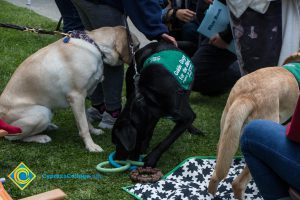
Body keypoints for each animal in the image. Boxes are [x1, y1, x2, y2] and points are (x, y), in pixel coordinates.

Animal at [0, 25, 139, 152]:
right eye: (136, 47)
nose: (136, 65)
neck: (95, 44)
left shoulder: (82, 96)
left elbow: (85, 119)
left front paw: (93, 131)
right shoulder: (76, 96)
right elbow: (83, 126)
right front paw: (91, 145)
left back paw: (49, 126)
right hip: (41, 113)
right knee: (12, 137)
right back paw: (41, 137)